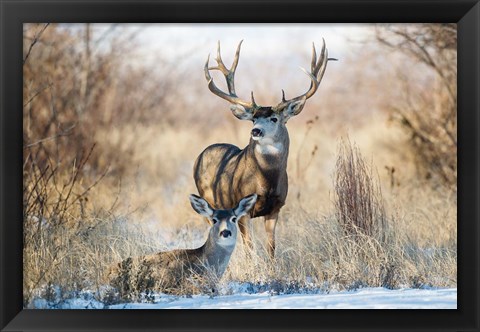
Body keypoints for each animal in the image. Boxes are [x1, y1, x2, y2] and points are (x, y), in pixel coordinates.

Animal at [194, 40, 334, 258]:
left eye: (274, 118)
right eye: (253, 118)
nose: (256, 131)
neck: (266, 181)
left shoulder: (276, 208)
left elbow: (271, 248)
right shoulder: (242, 209)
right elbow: (250, 248)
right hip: (209, 201)